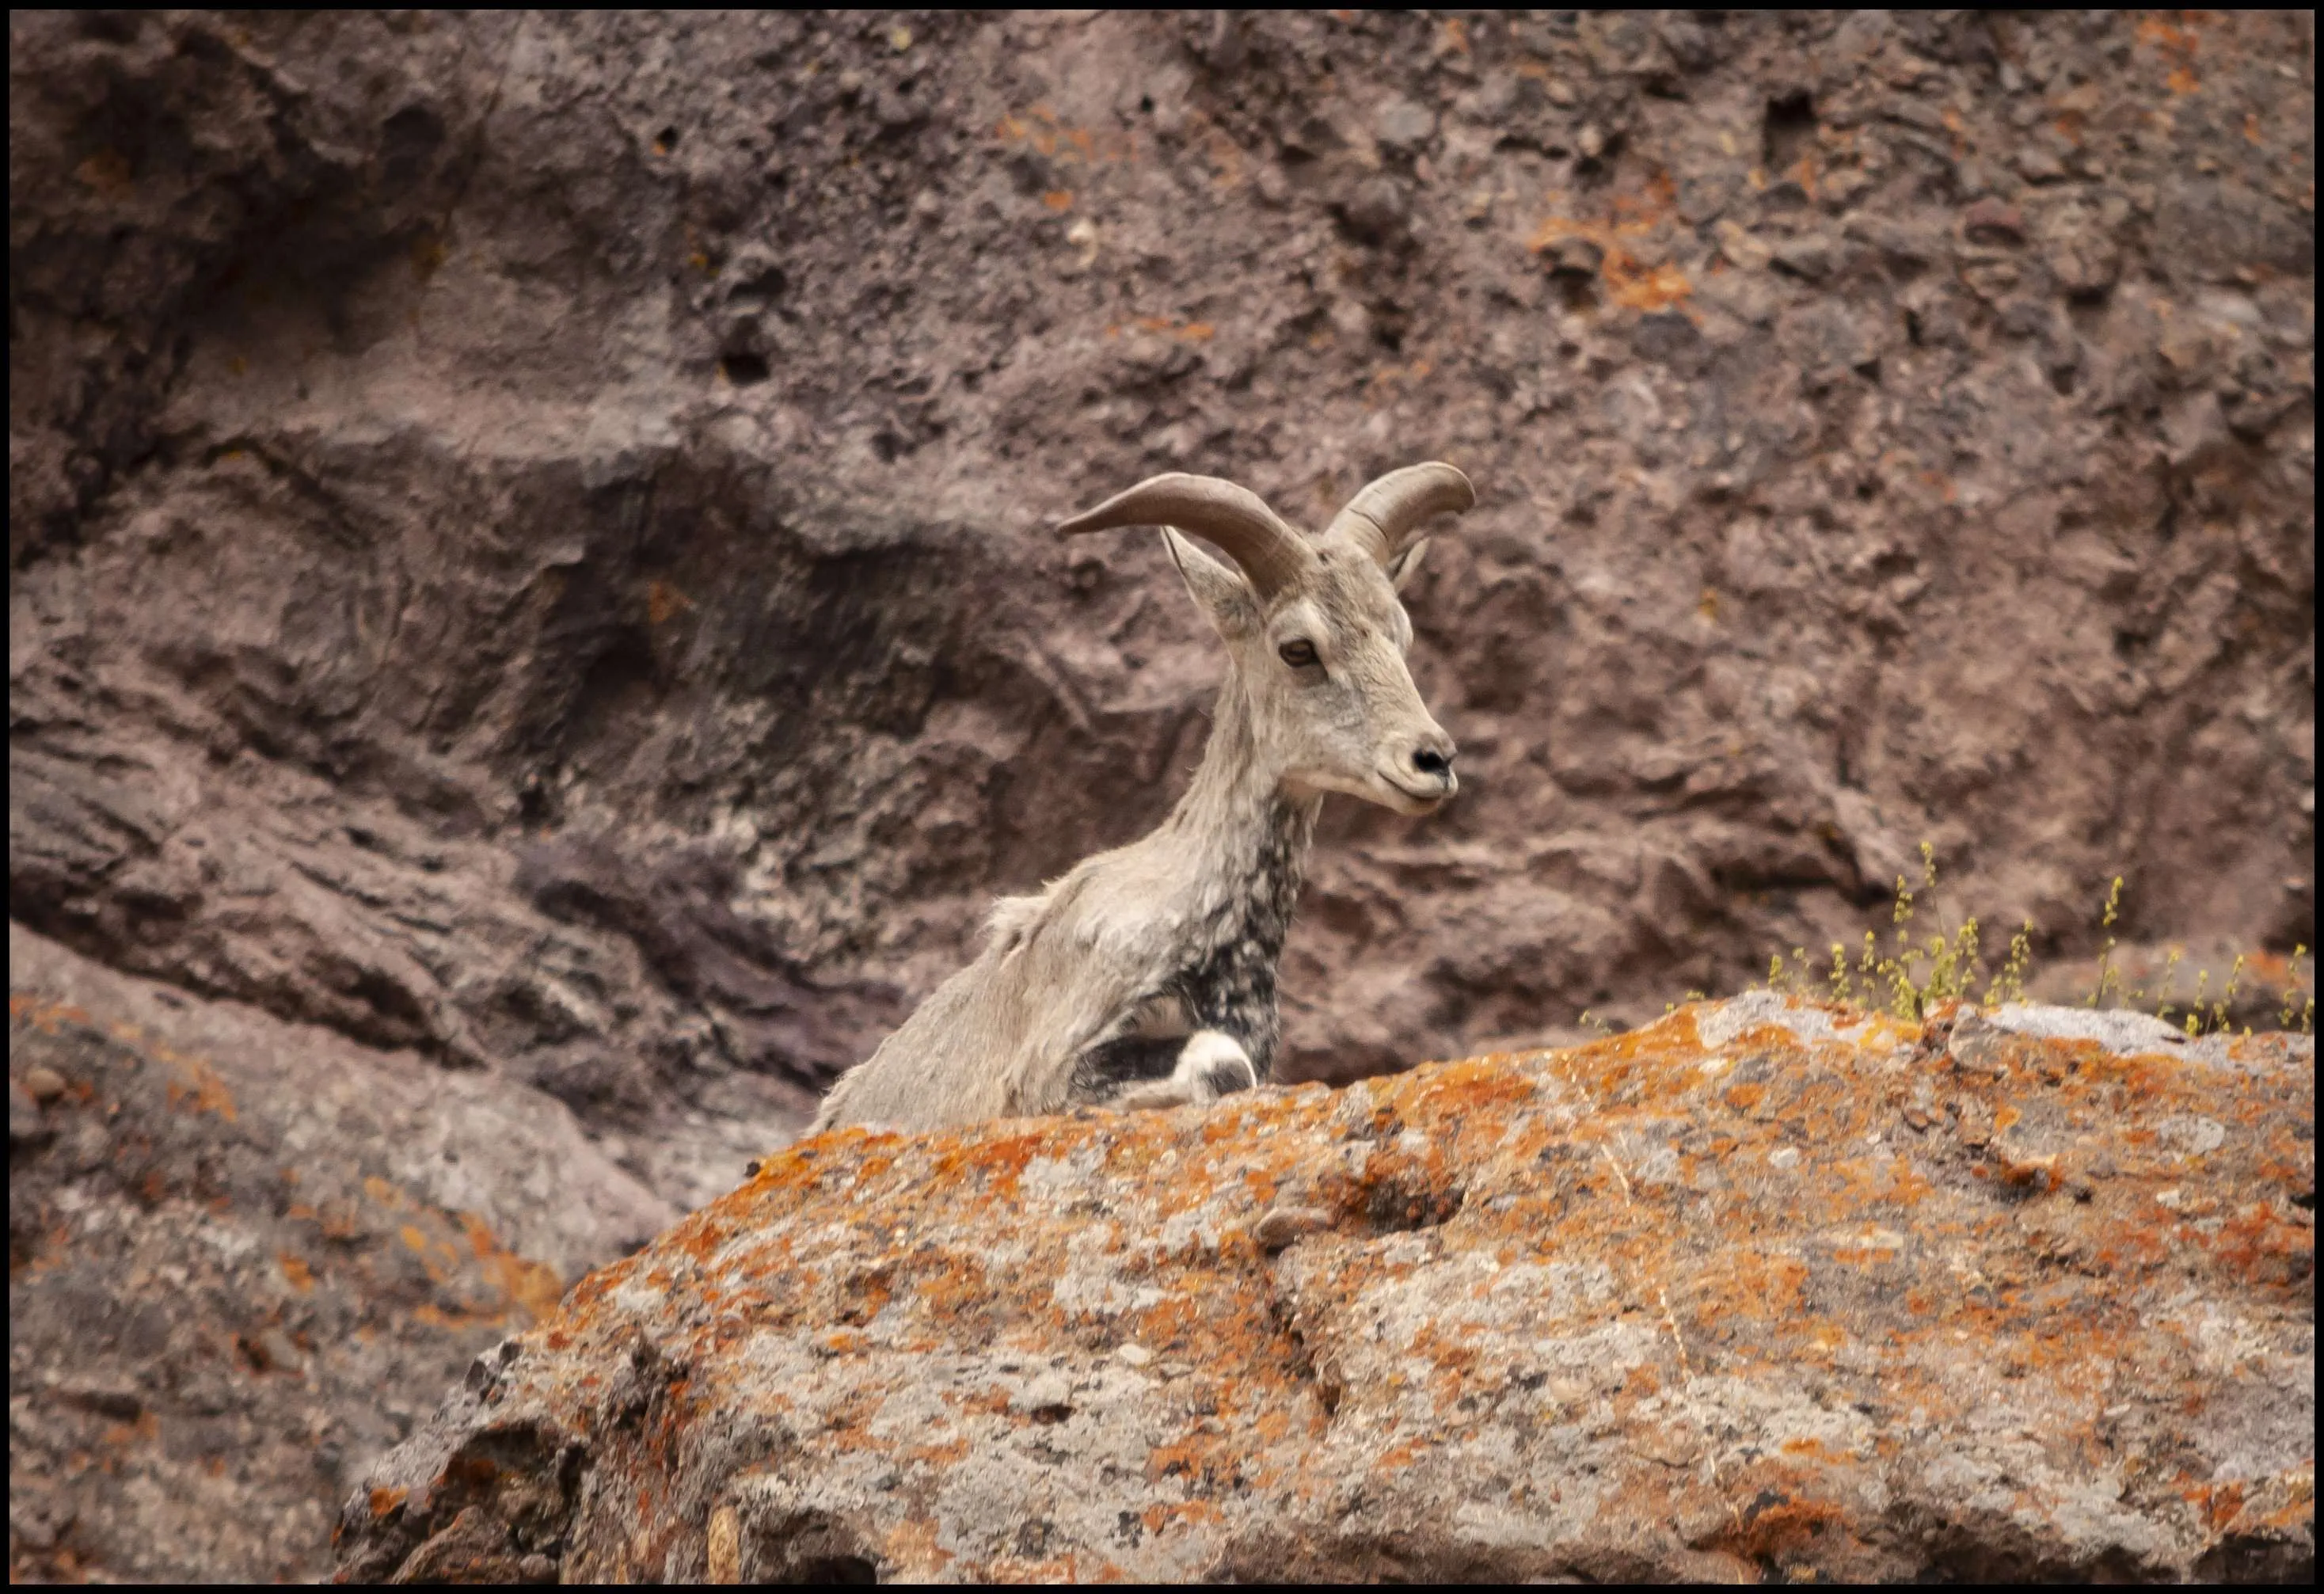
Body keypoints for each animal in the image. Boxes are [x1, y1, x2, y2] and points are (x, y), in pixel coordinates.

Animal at [809, 463, 1474, 1134]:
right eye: (1297, 648)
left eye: (1400, 635)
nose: (1432, 759)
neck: (1203, 919)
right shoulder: (1051, 1063)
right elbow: (1219, 1062)